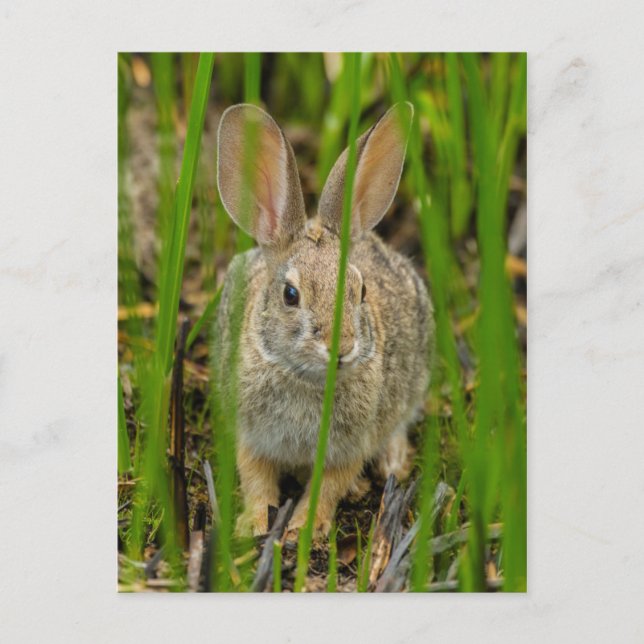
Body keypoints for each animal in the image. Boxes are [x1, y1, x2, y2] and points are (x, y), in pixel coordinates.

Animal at [213, 101, 435, 538]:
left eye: (361, 291)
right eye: (290, 295)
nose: (342, 347)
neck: (305, 377)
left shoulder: (349, 445)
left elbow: (329, 486)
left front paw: (304, 530)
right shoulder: (251, 434)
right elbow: (256, 478)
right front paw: (254, 525)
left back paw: (393, 463)